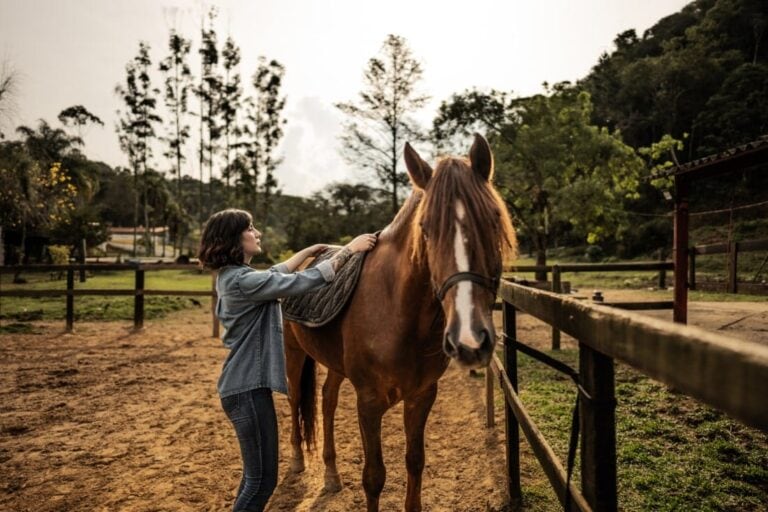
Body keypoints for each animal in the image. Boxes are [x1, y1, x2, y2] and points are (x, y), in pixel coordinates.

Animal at [283, 134, 517, 511]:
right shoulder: (368, 403)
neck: (400, 316)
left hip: (334, 364)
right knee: (294, 399)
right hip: (293, 353)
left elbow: (415, 461)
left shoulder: (421, 396)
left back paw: (331, 474)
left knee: (327, 399)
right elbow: (374, 477)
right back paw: (296, 461)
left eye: (494, 219)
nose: (469, 339)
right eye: (426, 229)